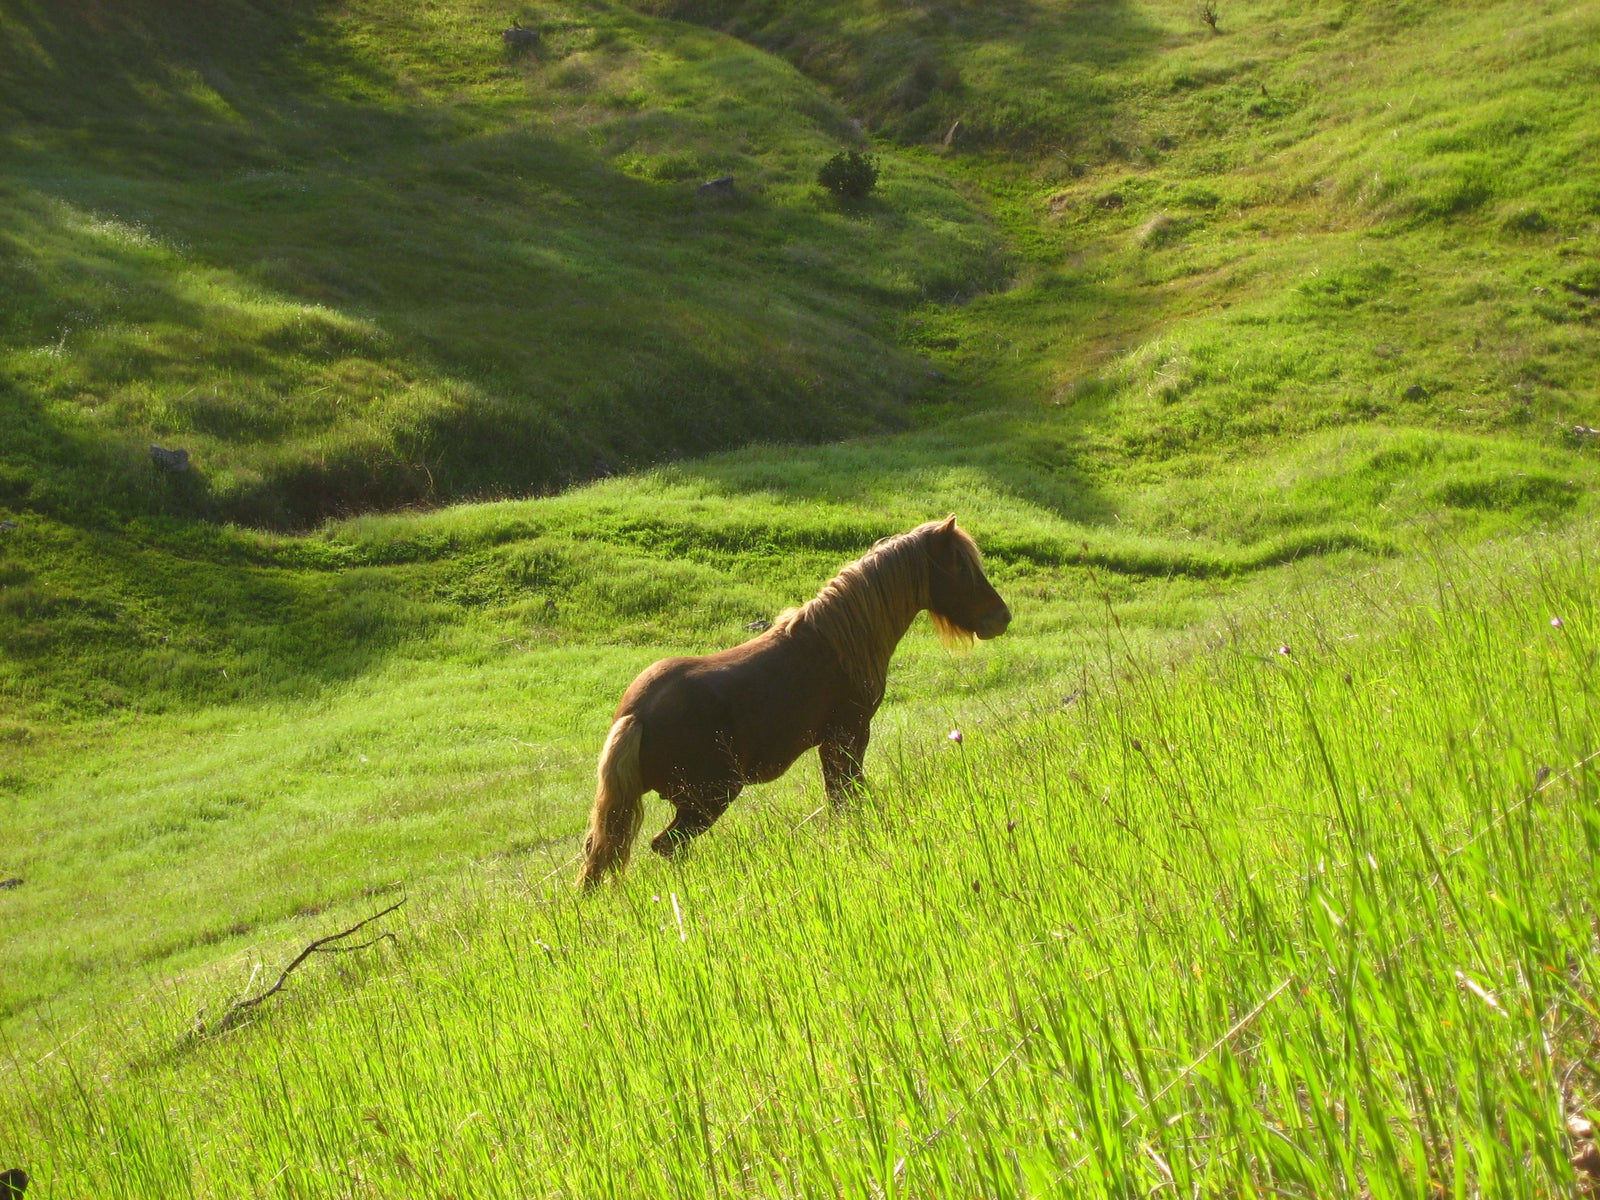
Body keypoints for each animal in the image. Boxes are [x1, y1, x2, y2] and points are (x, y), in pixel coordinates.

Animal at [576, 516, 1011, 886]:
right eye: (961, 568)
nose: (1001, 618)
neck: (838, 642)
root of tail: (634, 717)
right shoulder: (847, 736)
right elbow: (847, 798)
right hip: (709, 798)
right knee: (666, 846)